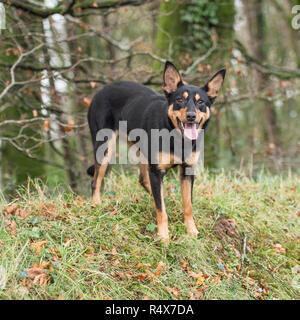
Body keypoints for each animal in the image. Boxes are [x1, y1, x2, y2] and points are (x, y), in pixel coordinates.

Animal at [86, 62, 225, 242]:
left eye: (200, 101)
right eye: (180, 100)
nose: (191, 116)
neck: (177, 139)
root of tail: (100, 91)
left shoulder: (187, 171)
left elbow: (188, 205)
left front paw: (192, 231)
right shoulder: (157, 171)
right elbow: (161, 210)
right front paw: (163, 236)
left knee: (144, 180)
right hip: (105, 147)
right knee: (95, 180)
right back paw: (96, 205)